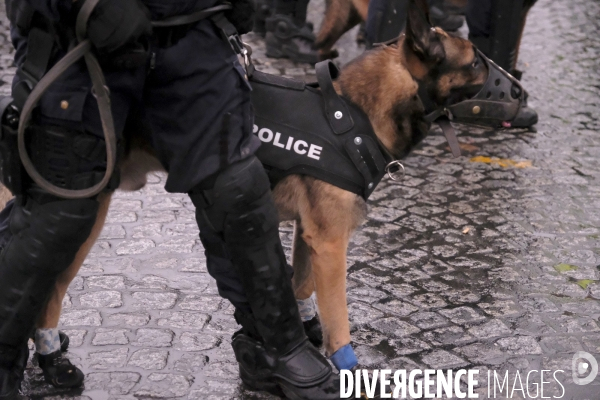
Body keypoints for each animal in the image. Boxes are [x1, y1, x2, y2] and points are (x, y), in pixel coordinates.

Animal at [2, 0, 490, 368]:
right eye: (474, 61)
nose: (503, 78)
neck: (353, 116)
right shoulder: (332, 243)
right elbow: (339, 318)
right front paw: (346, 365)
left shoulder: (308, 237)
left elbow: (300, 289)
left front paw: (301, 335)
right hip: (85, 216)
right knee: (49, 281)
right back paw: (49, 358)